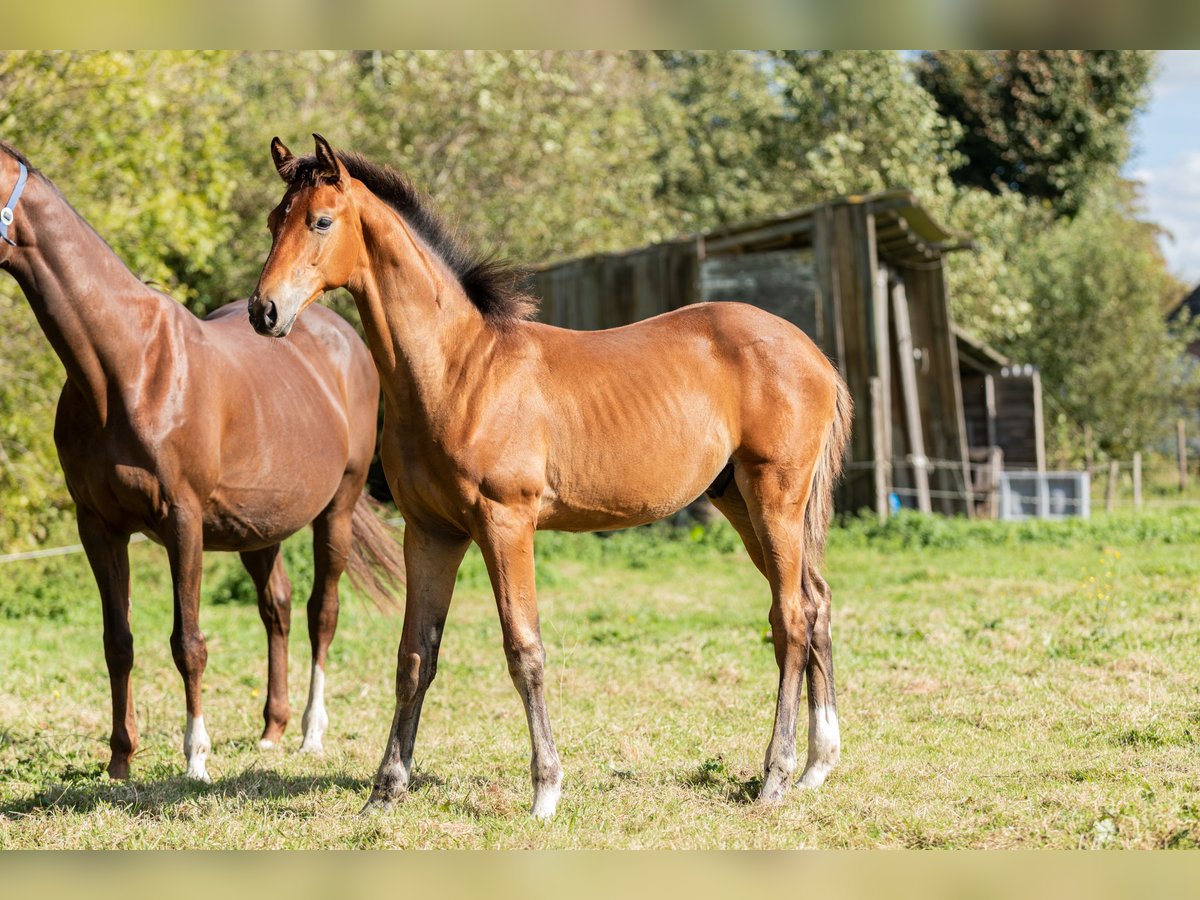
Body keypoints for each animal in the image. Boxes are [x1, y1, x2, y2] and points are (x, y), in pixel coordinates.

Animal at [0, 141, 405, 782]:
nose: (268, 312)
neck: (126, 367)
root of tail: (338, 333)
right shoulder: (97, 526)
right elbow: (118, 641)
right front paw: (120, 761)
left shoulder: (182, 522)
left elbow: (187, 643)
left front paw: (195, 759)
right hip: (257, 525)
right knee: (277, 607)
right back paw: (271, 731)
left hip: (336, 507)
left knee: (322, 610)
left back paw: (310, 734)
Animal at [250, 135, 854, 825]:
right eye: (273, 222)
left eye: (321, 221)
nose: (264, 310)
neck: (458, 371)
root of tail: (812, 353)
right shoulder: (430, 532)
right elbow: (414, 656)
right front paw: (385, 789)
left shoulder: (506, 522)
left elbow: (524, 650)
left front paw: (545, 790)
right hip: (741, 503)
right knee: (815, 599)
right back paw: (816, 767)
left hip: (775, 496)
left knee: (790, 617)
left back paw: (775, 776)